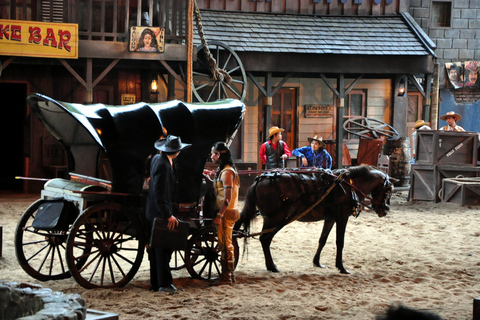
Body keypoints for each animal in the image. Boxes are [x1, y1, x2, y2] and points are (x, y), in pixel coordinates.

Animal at [238, 166, 396, 274]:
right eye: (388, 190)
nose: (386, 209)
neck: (348, 184)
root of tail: (259, 180)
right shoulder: (342, 218)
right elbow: (340, 242)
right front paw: (341, 267)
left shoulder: (330, 219)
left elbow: (322, 240)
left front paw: (317, 262)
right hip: (276, 218)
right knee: (265, 239)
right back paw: (272, 266)